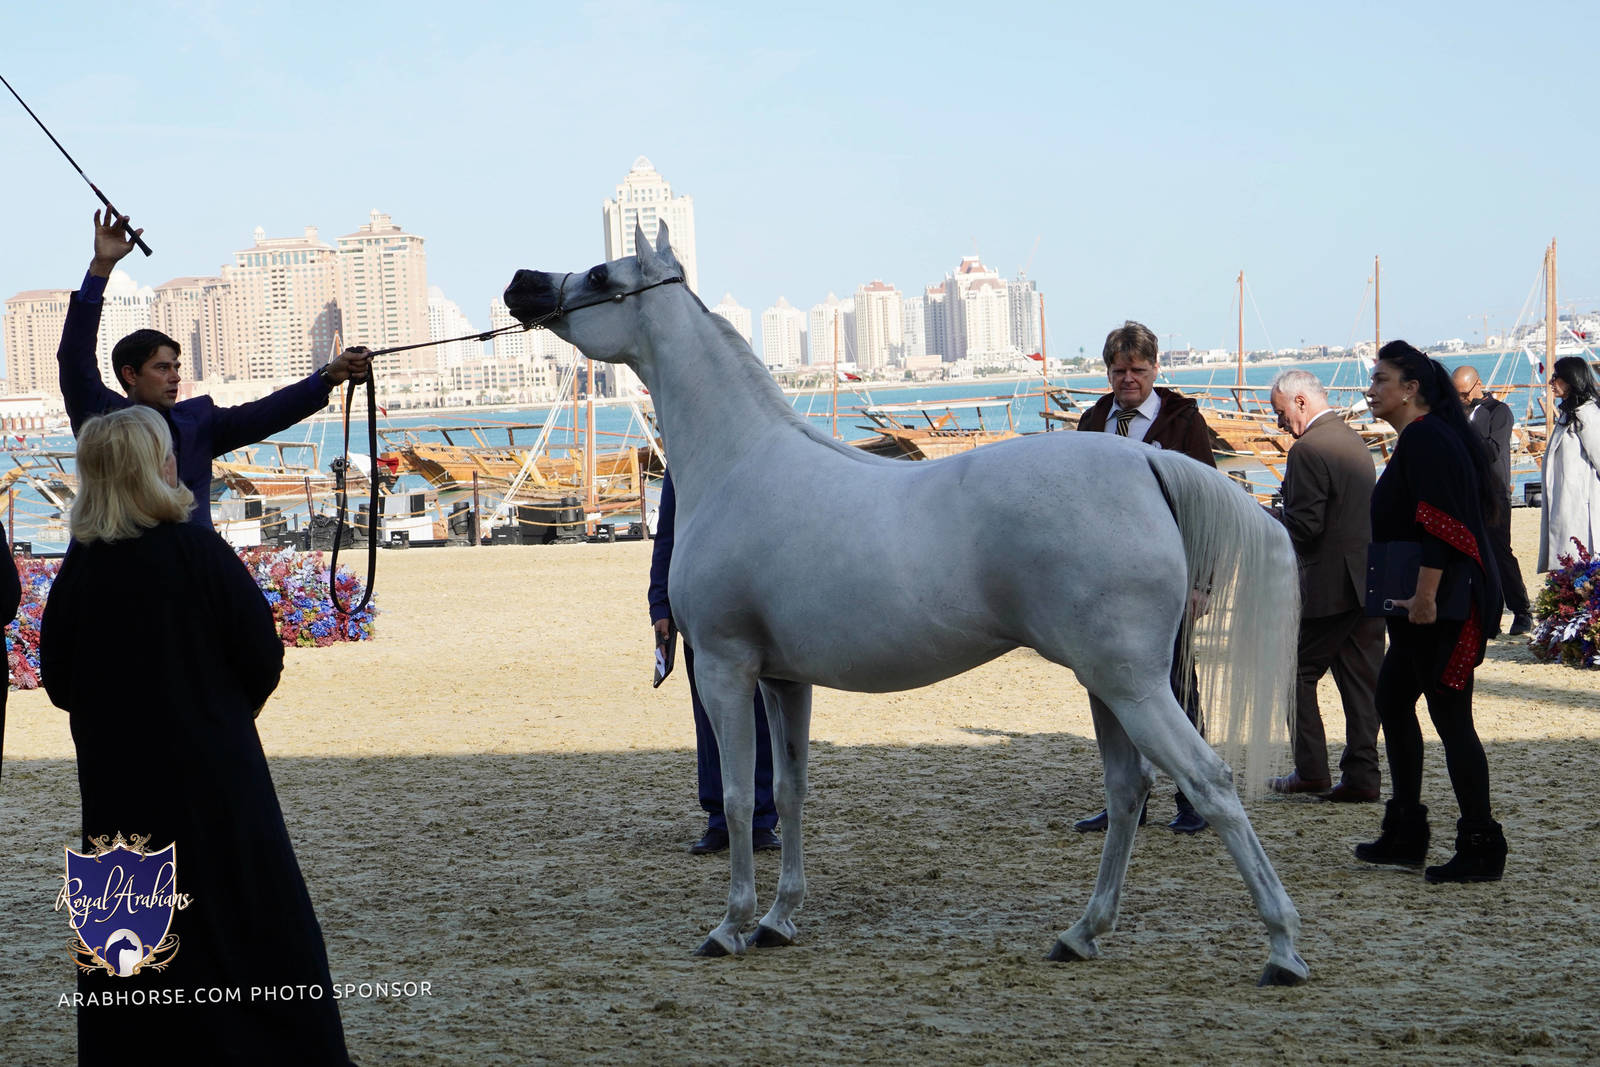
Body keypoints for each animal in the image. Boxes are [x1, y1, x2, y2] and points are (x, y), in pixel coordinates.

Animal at [504, 223, 1309, 986]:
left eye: (601, 274)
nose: (521, 284)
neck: (741, 462)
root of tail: (1144, 461)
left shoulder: (726, 670)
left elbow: (734, 797)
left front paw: (730, 926)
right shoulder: (783, 680)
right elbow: (789, 791)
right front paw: (779, 919)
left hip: (1134, 685)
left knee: (1209, 781)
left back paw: (1282, 948)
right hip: (1107, 684)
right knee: (1127, 788)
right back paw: (1081, 934)